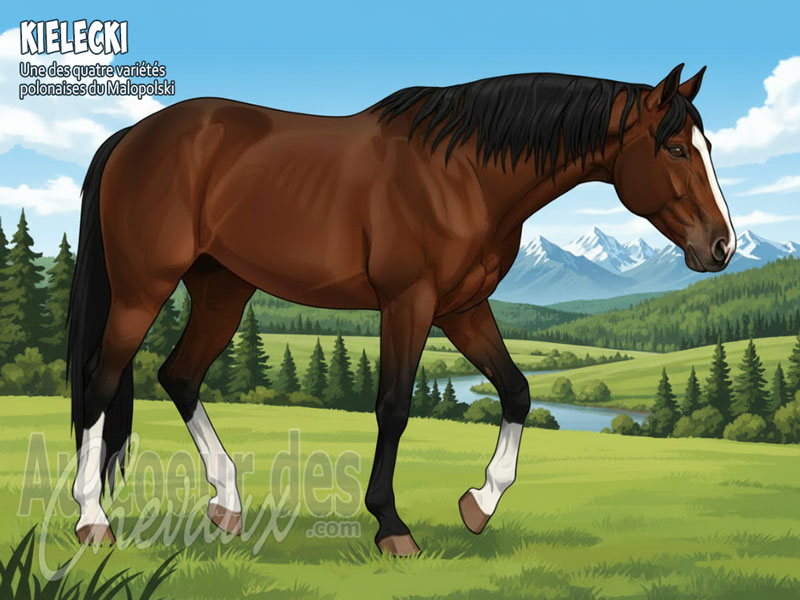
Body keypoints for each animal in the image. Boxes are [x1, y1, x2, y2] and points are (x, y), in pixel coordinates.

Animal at [67, 63, 735, 556]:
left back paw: (227, 502)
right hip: (142, 288)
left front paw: (479, 504)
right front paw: (391, 526)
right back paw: (93, 518)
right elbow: (393, 406)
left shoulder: (464, 308)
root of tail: (131, 137)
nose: (722, 246)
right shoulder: (408, 302)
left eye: (705, 146)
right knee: (101, 379)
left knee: (179, 374)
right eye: (676, 149)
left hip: (222, 288)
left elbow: (517, 391)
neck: (464, 173)